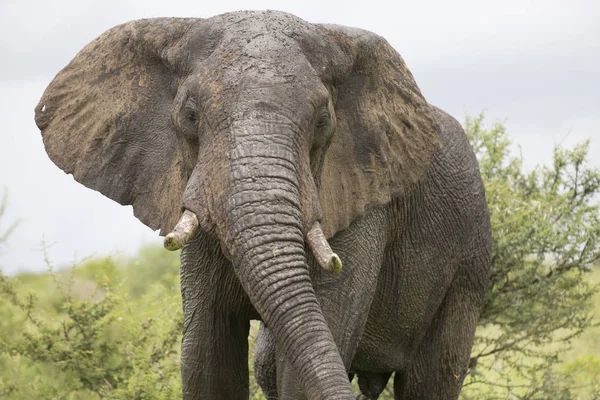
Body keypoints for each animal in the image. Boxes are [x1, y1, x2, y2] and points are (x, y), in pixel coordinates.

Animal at [35, 9, 490, 400]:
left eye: (323, 123)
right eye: (189, 116)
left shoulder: (364, 201)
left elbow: (312, 350)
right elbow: (207, 356)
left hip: (467, 265)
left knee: (430, 379)